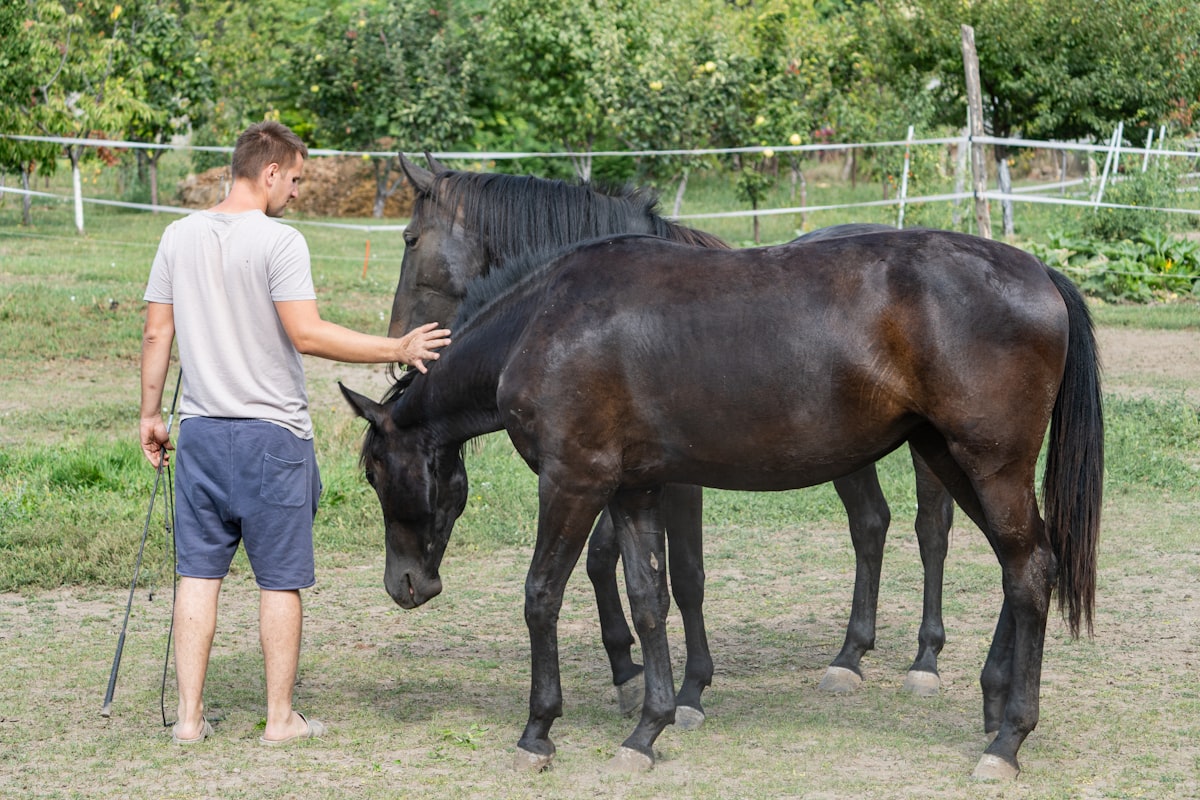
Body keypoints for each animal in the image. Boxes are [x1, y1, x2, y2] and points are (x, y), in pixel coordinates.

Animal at [345, 229, 1103, 779]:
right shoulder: (635, 489)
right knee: (1025, 564)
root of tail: (1038, 272)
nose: (404, 585)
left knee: (1029, 569)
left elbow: (541, 595)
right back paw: (993, 701)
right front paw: (648, 727)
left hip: (989, 465)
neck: (548, 322)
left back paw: (1007, 741)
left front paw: (538, 730)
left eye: (376, 472)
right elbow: (649, 598)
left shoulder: (574, 483)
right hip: (952, 457)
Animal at [387, 154, 955, 713]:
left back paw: (925, 661)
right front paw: (629, 668)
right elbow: (606, 561)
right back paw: (850, 655)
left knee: (931, 529)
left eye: (410, 238)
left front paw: (686, 688)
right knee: (870, 524)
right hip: (848, 455)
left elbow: (682, 574)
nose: (400, 348)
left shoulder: (672, 477)